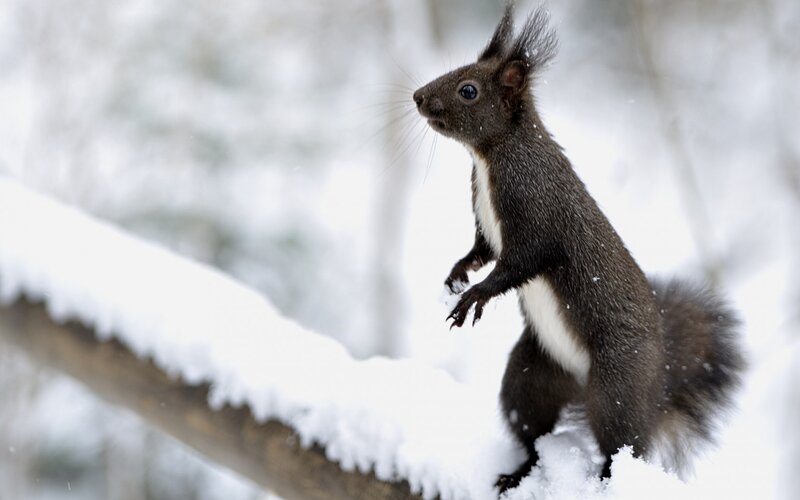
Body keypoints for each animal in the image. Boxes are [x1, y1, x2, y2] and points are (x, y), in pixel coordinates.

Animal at [412, 3, 745, 493]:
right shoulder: (486, 227)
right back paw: (517, 474)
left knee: (623, 446)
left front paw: (475, 296)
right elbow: (481, 251)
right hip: (532, 375)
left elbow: (520, 263)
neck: (492, 157)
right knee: (531, 430)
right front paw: (458, 273)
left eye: (468, 90)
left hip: (617, 386)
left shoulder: (537, 215)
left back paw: (605, 479)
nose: (417, 96)